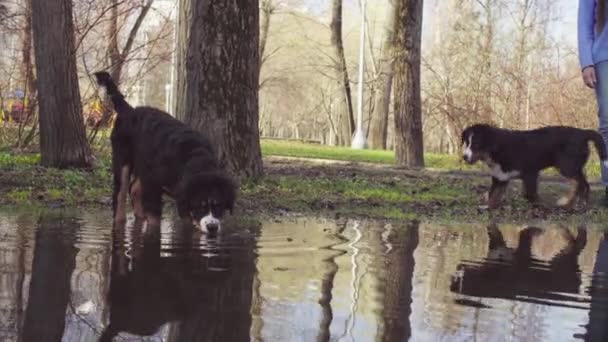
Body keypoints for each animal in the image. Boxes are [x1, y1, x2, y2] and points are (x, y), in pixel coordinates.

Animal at [94, 71, 236, 234]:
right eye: (200, 206)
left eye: (219, 206)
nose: (212, 227)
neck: (191, 157)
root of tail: (130, 110)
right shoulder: (154, 186)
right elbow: (155, 217)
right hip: (122, 159)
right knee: (120, 194)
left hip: (144, 165)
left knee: (134, 188)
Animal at [464, 123, 604, 208]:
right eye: (466, 143)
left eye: (476, 144)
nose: (464, 157)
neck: (498, 148)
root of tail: (582, 133)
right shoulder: (500, 177)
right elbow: (493, 194)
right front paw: (488, 206)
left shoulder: (530, 172)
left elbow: (529, 194)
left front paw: (538, 205)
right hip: (574, 167)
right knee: (584, 184)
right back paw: (580, 203)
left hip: (567, 166)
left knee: (578, 183)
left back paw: (566, 202)